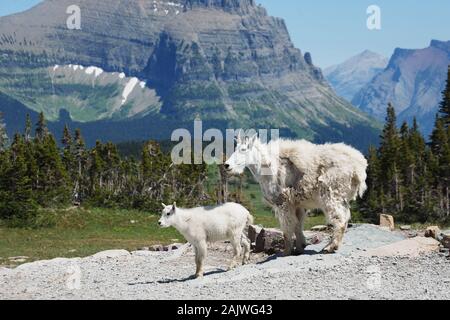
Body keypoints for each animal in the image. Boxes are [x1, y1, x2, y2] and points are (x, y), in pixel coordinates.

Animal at [227, 137, 368, 255]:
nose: (227, 165)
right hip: (342, 197)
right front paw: (300, 246)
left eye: (243, 149)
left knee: (339, 220)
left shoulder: (282, 202)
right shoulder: (297, 204)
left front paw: (286, 251)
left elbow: (287, 227)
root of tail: (358, 168)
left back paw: (330, 247)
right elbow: (297, 225)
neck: (265, 166)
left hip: (332, 194)